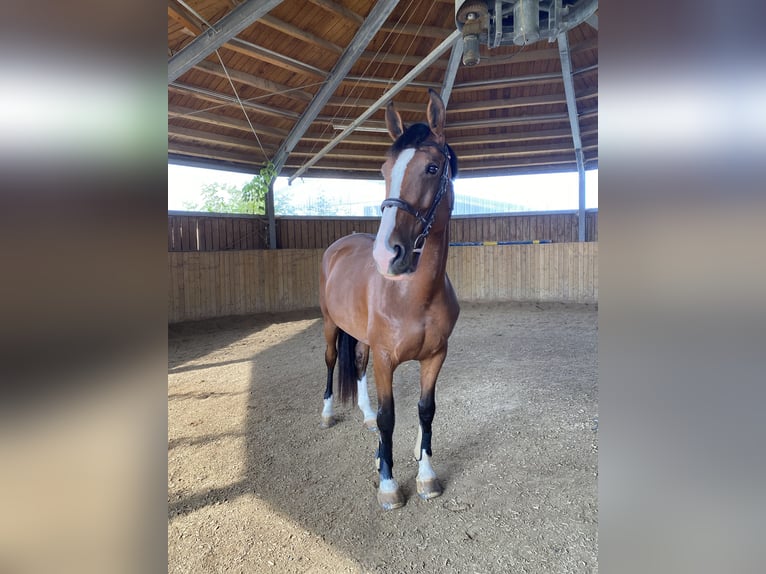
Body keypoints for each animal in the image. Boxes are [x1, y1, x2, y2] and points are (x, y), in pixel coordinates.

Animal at [320, 90, 460, 512]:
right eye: (384, 170)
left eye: (433, 167)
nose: (386, 255)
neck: (414, 296)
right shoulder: (386, 359)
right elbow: (389, 417)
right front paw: (388, 483)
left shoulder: (435, 356)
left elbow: (426, 411)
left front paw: (426, 475)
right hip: (330, 325)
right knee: (331, 362)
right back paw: (328, 413)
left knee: (357, 364)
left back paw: (362, 415)